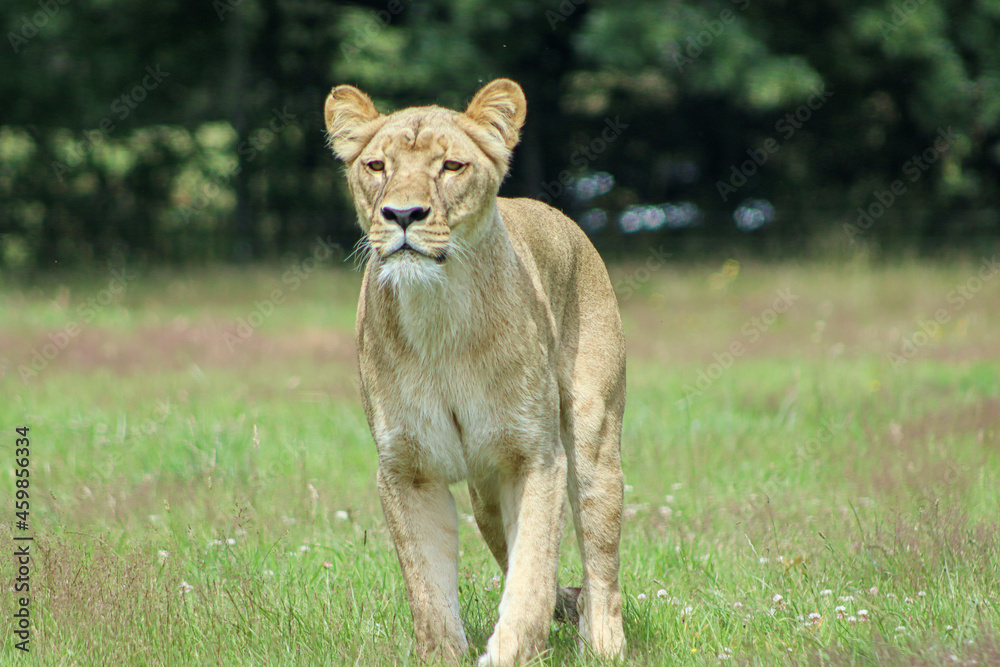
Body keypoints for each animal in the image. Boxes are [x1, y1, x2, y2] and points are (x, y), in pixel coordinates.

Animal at [324, 78, 627, 666]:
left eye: (451, 166)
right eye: (376, 165)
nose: (402, 214)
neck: (438, 312)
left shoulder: (535, 457)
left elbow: (530, 577)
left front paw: (510, 651)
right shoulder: (407, 469)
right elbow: (429, 592)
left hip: (593, 440)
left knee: (599, 558)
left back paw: (602, 641)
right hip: (485, 495)